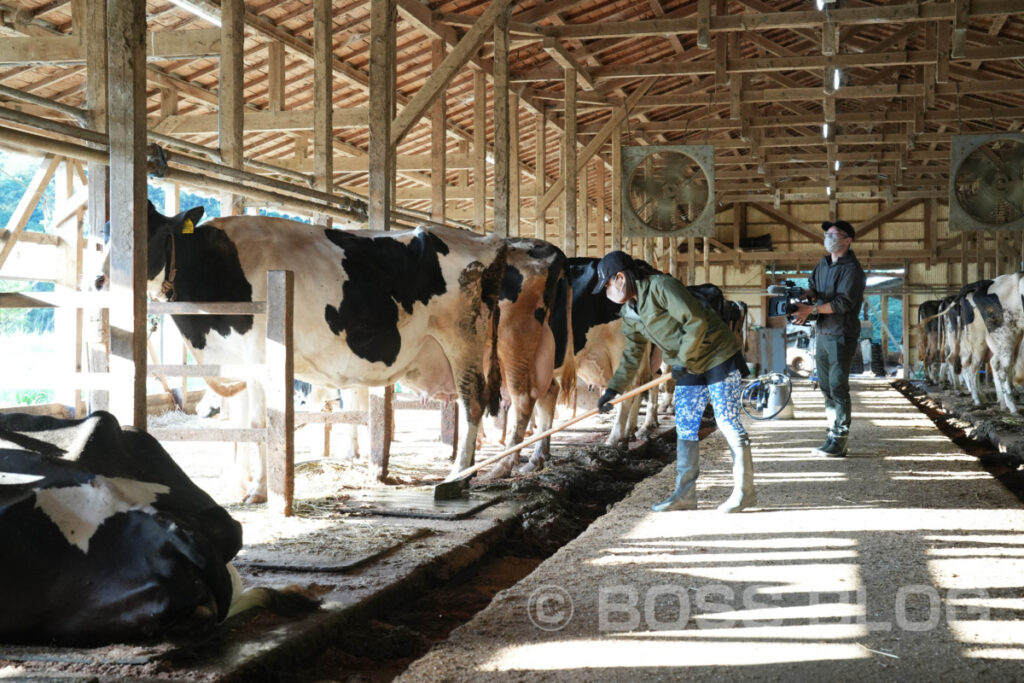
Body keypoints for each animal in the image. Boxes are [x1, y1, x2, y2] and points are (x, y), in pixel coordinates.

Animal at [132, 202, 507, 501]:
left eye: (152, 232)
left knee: (472, 402)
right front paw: (236, 486)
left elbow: (261, 423)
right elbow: (238, 427)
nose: (115, 274)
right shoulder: (232, 362)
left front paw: (259, 491)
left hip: (463, 338)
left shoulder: (261, 357)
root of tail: (485, 240)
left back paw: (457, 477)